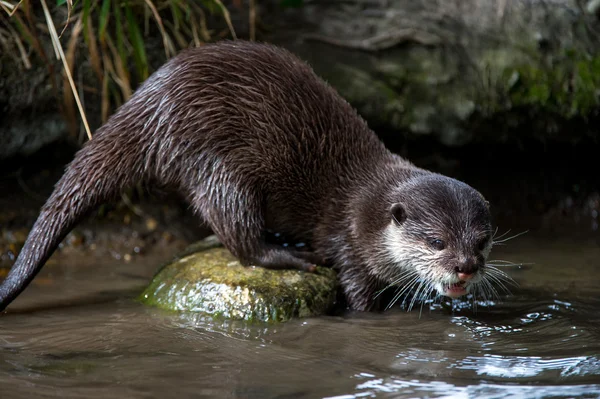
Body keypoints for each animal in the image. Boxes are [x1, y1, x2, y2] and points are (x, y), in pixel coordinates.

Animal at [0, 42, 494, 314]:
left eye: (482, 241)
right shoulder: (350, 247)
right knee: (238, 235)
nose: (466, 265)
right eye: (436, 242)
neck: (366, 211)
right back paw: (290, 255)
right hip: (220, 167)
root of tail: (147, 105)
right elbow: (360, 298)